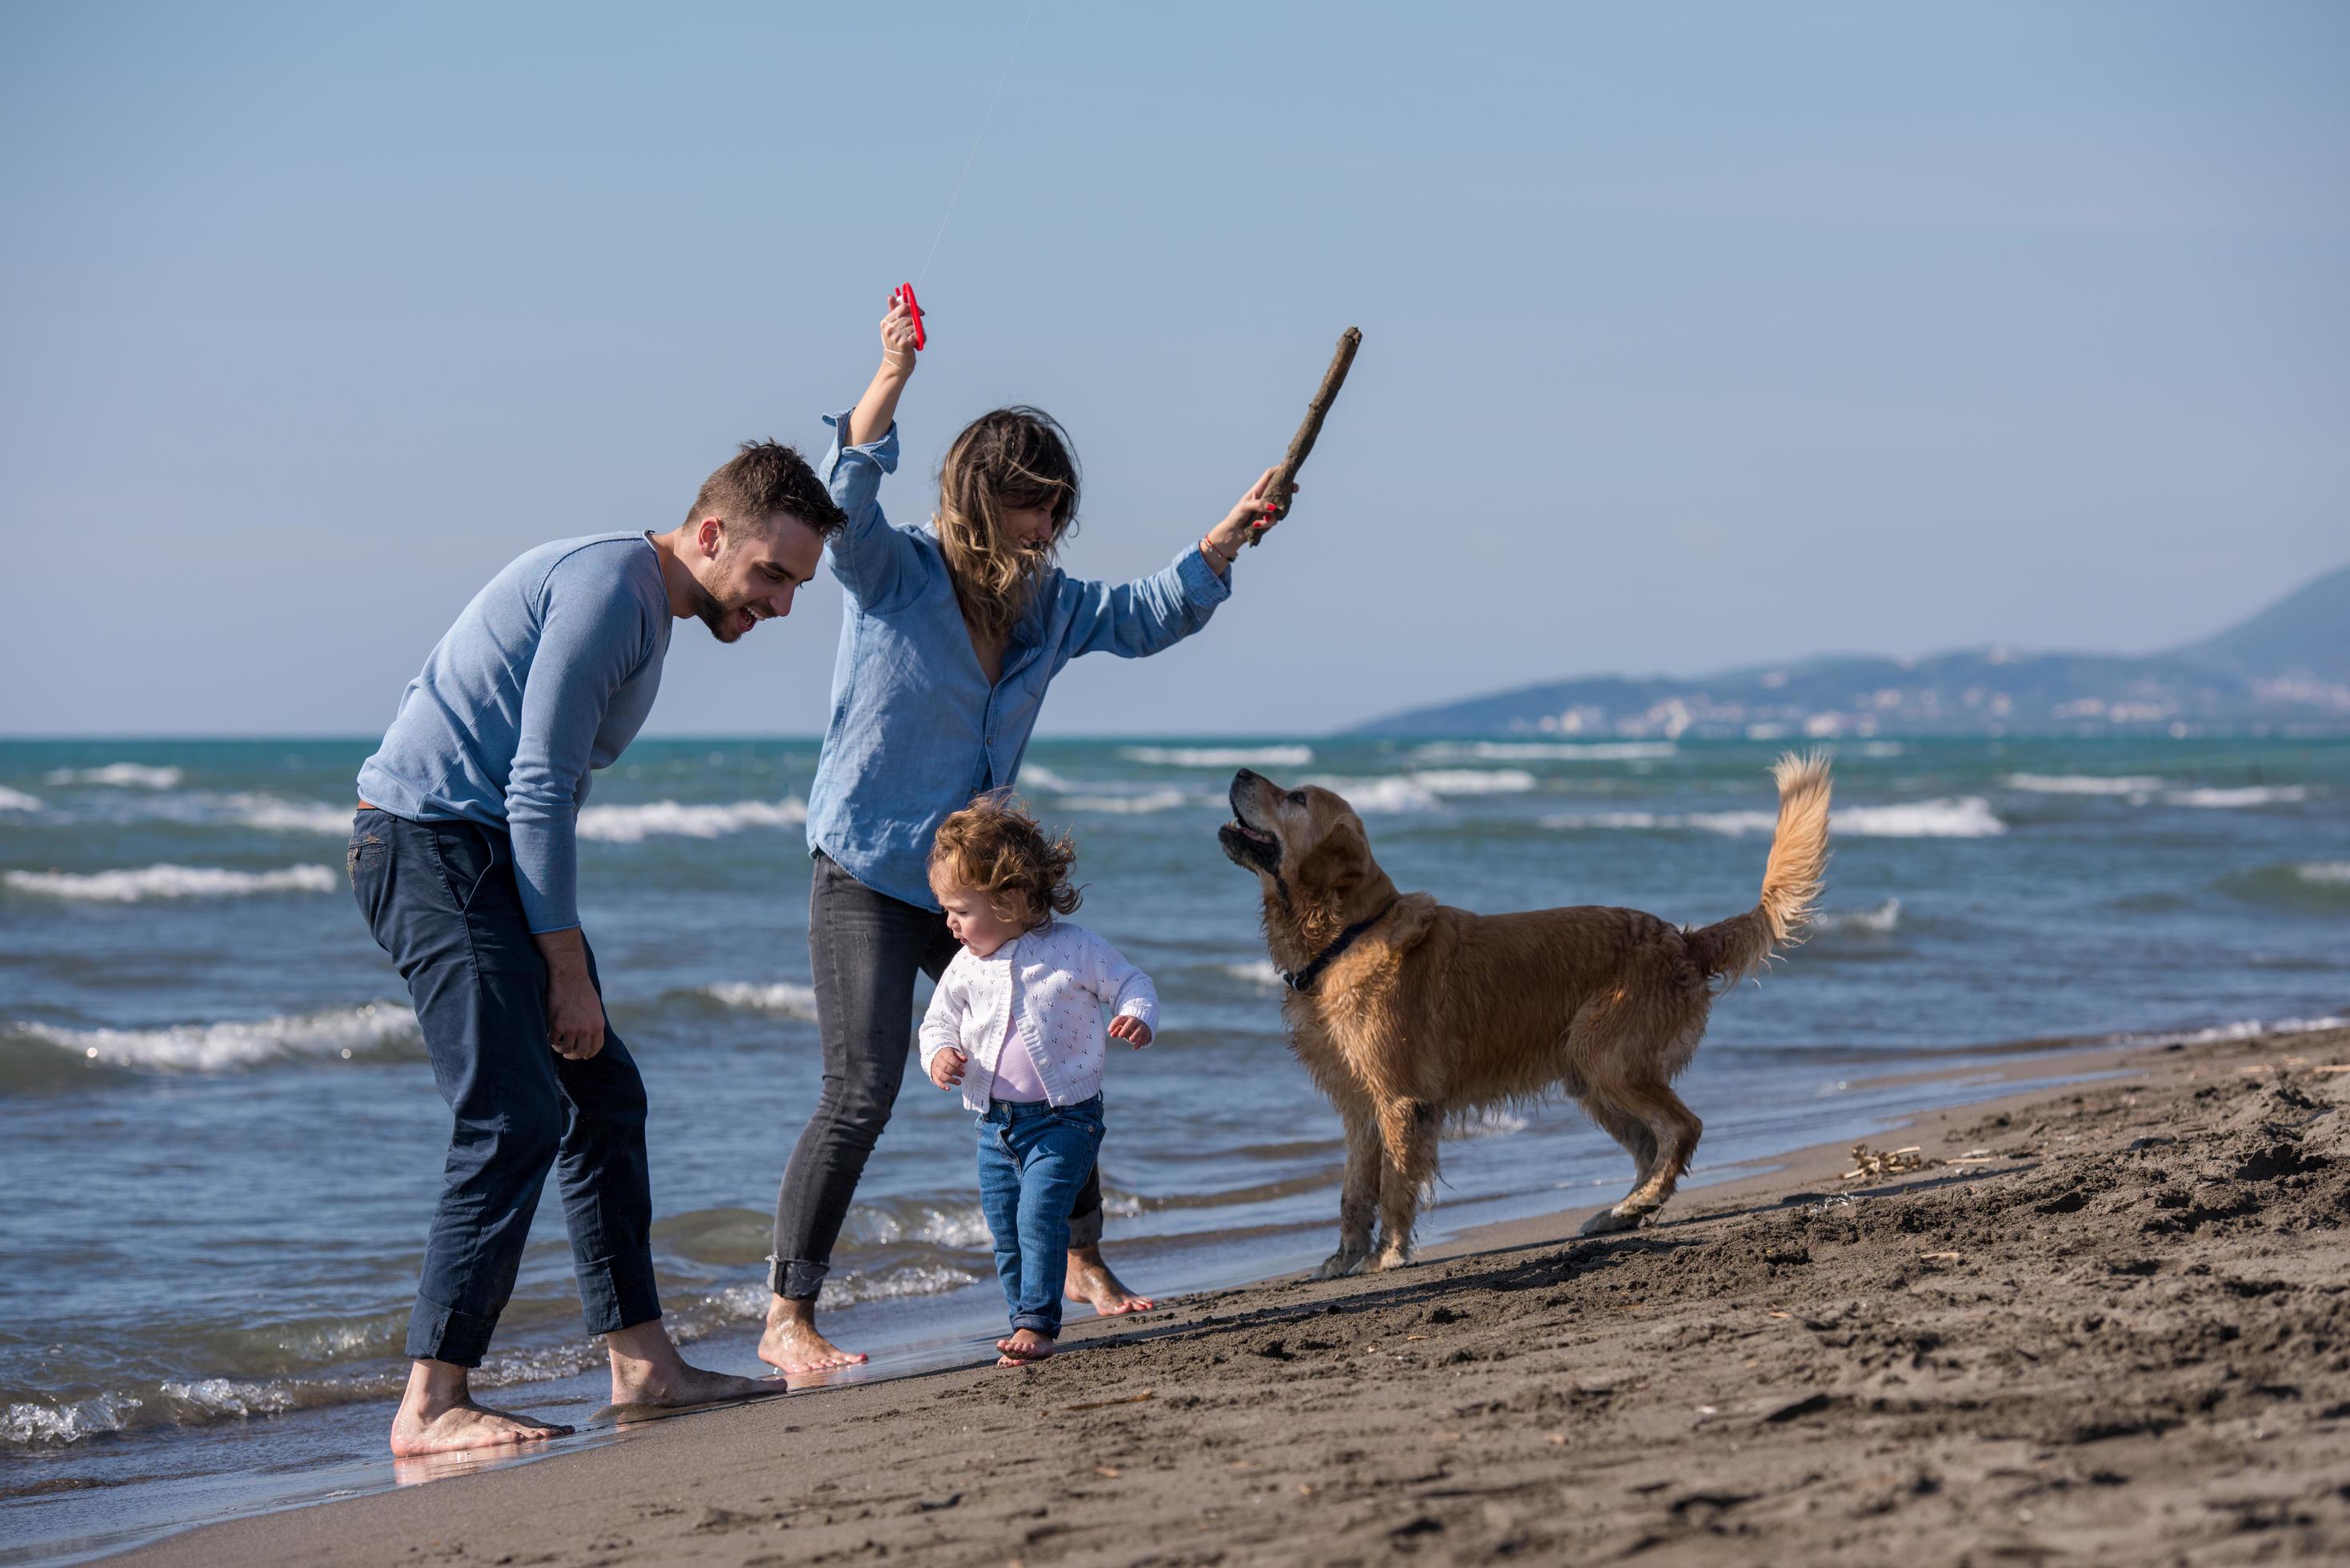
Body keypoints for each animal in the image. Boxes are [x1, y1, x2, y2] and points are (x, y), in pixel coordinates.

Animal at [1222, 752, 1824, 1278]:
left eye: (1297, 798)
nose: (1240, 770)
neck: (1347, 935)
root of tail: (1682, 939)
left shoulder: (1398, 1101)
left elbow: (1394, 1187)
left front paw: (1386, 1255)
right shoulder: (1357, 1106)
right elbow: (1353, 1193)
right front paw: (1342, 1258)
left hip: (1605, 1058)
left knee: (1681, 1128)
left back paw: (1636, 1205)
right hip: (1590, 1077)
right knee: (1652, 1145)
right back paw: (1624, 1211)